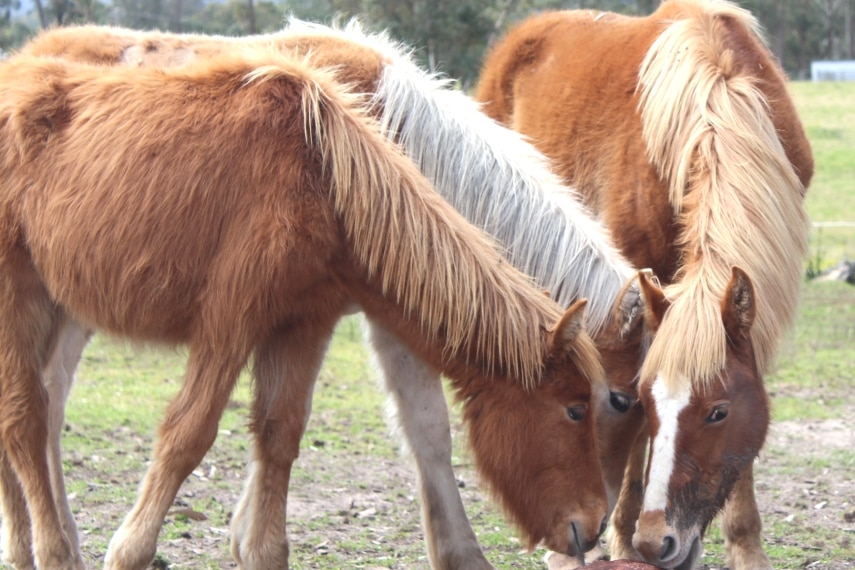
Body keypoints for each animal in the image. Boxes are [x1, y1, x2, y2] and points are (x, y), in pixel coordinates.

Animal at [6, 20, 652, 568]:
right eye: (608, 402)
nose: (595, 530)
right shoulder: (333, 312)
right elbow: (425, 428)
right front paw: (462, 554)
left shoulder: (319, 312)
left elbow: (286, 427)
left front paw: (247, 537)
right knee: (38, 410)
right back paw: (41, 543)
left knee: (42, 404)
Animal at [478, 1, 812, 568]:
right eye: (650, 405)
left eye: (718, 412)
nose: (659, 543)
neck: (715, 98)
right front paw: (620, 532)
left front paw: (745, 547)